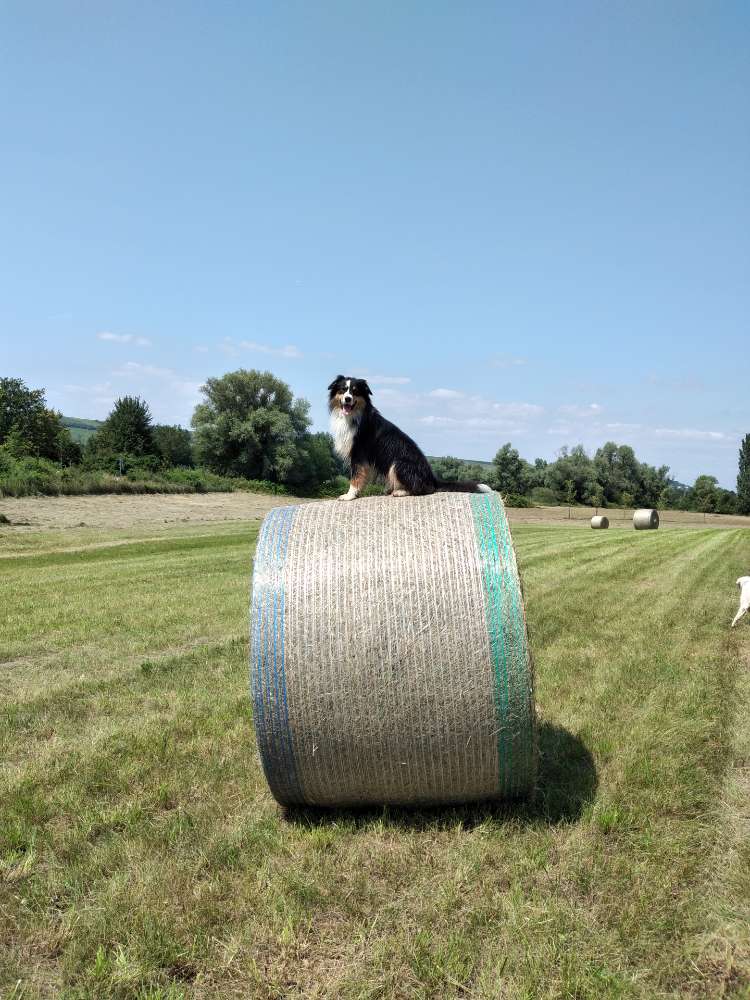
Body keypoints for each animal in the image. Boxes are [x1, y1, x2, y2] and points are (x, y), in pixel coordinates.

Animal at [328, 376, 494, 500]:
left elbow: (355, 477)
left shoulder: (358, 453)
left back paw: (400, 492)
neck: (355, 416)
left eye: (355, 391)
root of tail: (432, 478)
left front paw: (349, 496)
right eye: (343, 390)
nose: (347, 399)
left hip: (398, 463)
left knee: (423, 489)